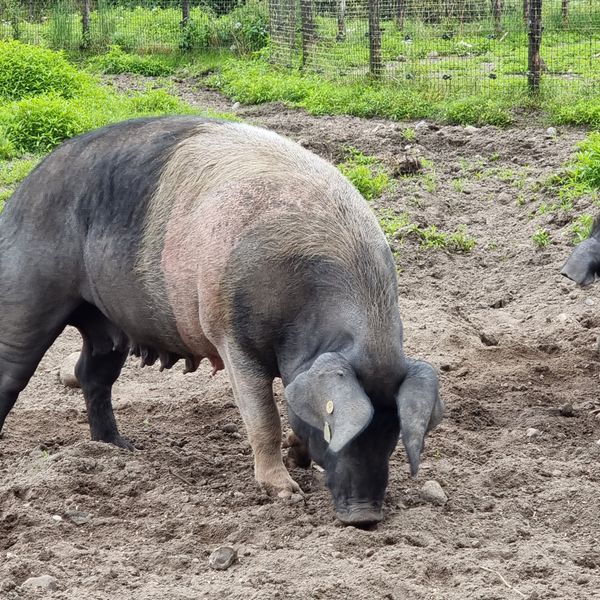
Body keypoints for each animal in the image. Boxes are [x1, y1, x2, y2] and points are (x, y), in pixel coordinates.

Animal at [0, 116, 440, 524]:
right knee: (14, 373)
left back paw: (120, 449)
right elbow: (264, 418)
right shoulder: (230, 336)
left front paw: (298, 459)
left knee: (92, 375)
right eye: (336, 432)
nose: (364, 517)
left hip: (107, 321)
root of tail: (27, 184)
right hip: (28, 293)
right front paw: (286, 494)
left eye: (392, 433)